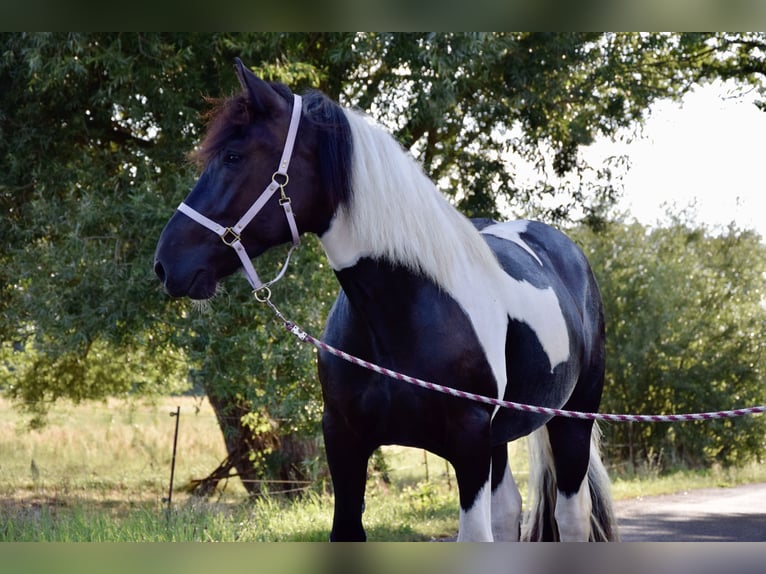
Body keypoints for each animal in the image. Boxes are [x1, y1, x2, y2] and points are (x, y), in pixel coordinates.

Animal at [153, 59, 620, 544]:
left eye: (233, 157)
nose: (166, 263)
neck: (406, 310)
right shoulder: (344, 440)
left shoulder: (469, 444)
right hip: (504, 439)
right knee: (510, 509)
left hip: (572, 419)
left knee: (571, 515)